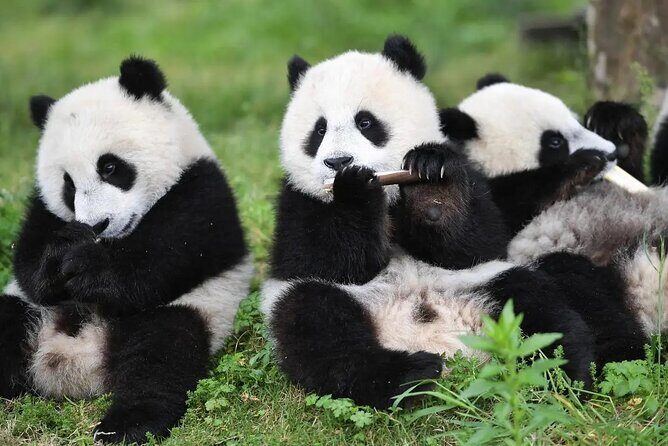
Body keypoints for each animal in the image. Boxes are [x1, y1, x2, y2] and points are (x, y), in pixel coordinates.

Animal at [0, 57, 252, 444]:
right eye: (68, 184)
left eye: (109, 167)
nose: (97, 225)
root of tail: (78, 363)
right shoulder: (43, 208)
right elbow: (29, 261)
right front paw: (62, 255)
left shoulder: (204, 192)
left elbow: (158, 260)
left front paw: (90, 268)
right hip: (25, 310)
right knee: (7, 322)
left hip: (192, 309)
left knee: (159, 355)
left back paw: (127, 424)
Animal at [261, 36, 662, 410]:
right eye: (318, 131)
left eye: (366, 122)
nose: (338, 161)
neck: (388, 195)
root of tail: (441, 334)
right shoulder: (296, 200)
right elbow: (326, 260)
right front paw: (354, 189)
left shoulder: (473, 185)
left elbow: (475, 241)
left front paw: (431, 180)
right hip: (330, 304)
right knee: (318, 328)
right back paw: (409, 373)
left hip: (491, 283)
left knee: (542, 313)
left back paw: (563, 376)